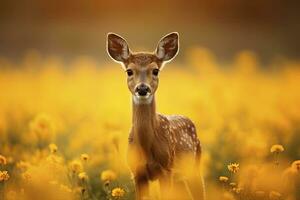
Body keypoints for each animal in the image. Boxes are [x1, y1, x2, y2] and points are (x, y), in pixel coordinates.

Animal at [106, 32, 205, 199]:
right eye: (129, 71)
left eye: (155, 71)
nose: (142, 88)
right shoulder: (137, 172)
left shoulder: (166, 169)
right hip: (179, 178)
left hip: (194, 164)